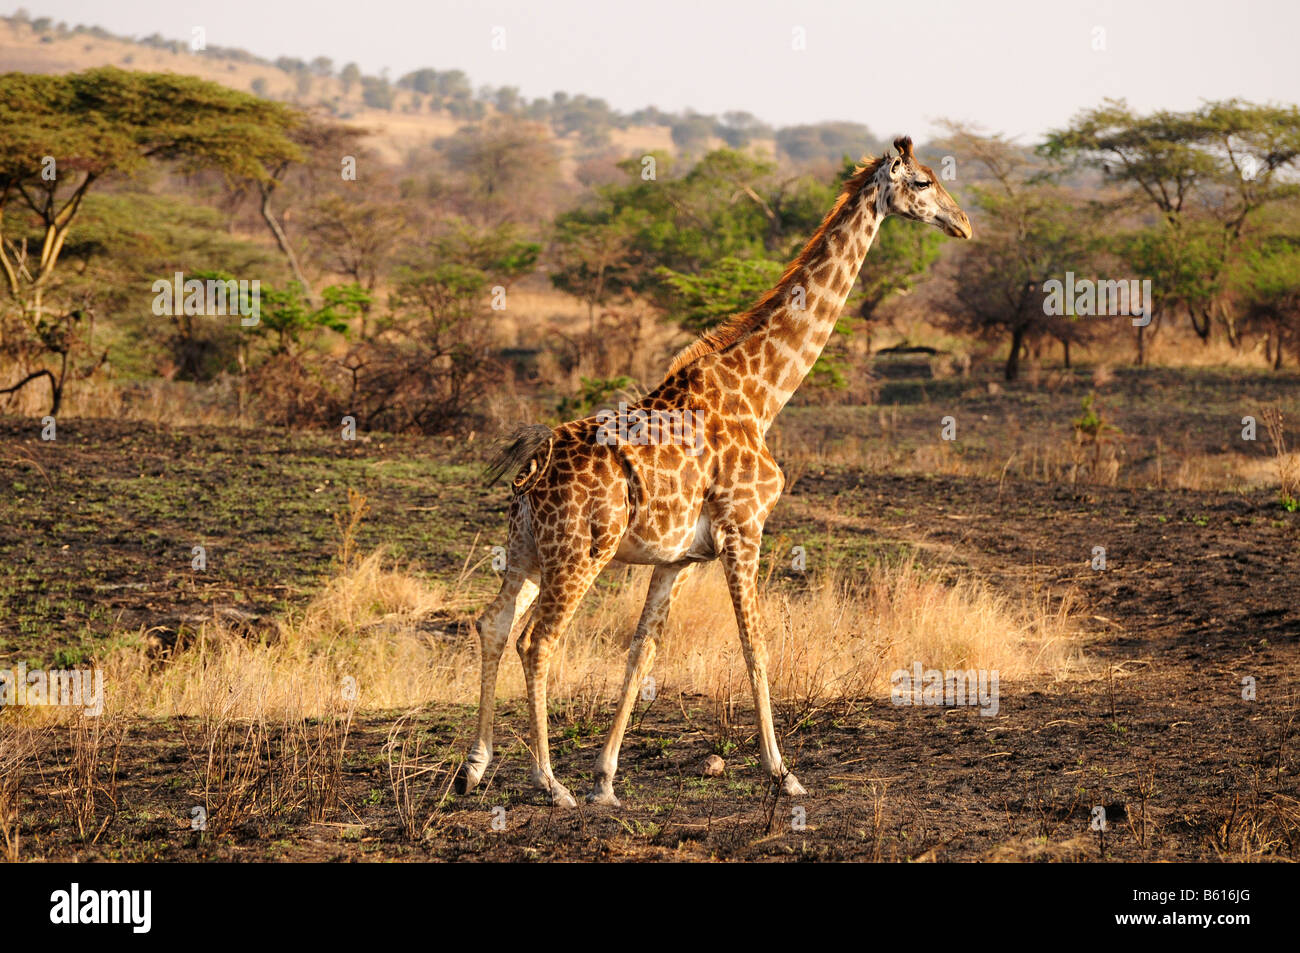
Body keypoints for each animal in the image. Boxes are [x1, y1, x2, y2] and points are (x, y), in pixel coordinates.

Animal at [457, 135, 967, 800]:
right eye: (925, 182)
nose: (962, 223)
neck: (761, 394)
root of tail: (533, 466)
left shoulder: (677, 558)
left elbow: (641, 652)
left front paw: (606, 778)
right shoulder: (744, 528)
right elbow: (756, 647)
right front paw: (783, 773)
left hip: (524, 549)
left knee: (493, 624)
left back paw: (474, 768)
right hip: (579, 552)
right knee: (537, 641)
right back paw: (549, 783)